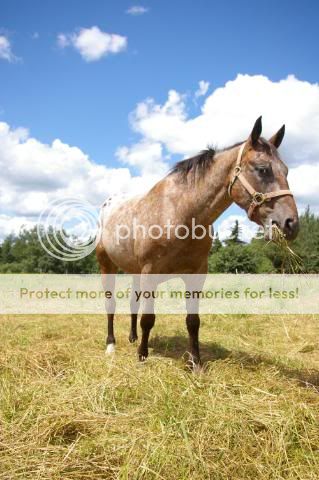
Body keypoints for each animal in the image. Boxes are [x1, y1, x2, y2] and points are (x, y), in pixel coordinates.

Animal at [97, 118, 300, 366]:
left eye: (286, 171)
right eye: (263, 169)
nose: (290, 224)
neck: (180, 212)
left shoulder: (196, 274)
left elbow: (193, 321)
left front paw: (195, 362)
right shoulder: (150, 273)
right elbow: (148, 318)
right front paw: (142, 356)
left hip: (134, 272)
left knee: (132, 303)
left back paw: (132, 338)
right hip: (107, 265)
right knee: (111, 305)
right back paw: (111, 345)